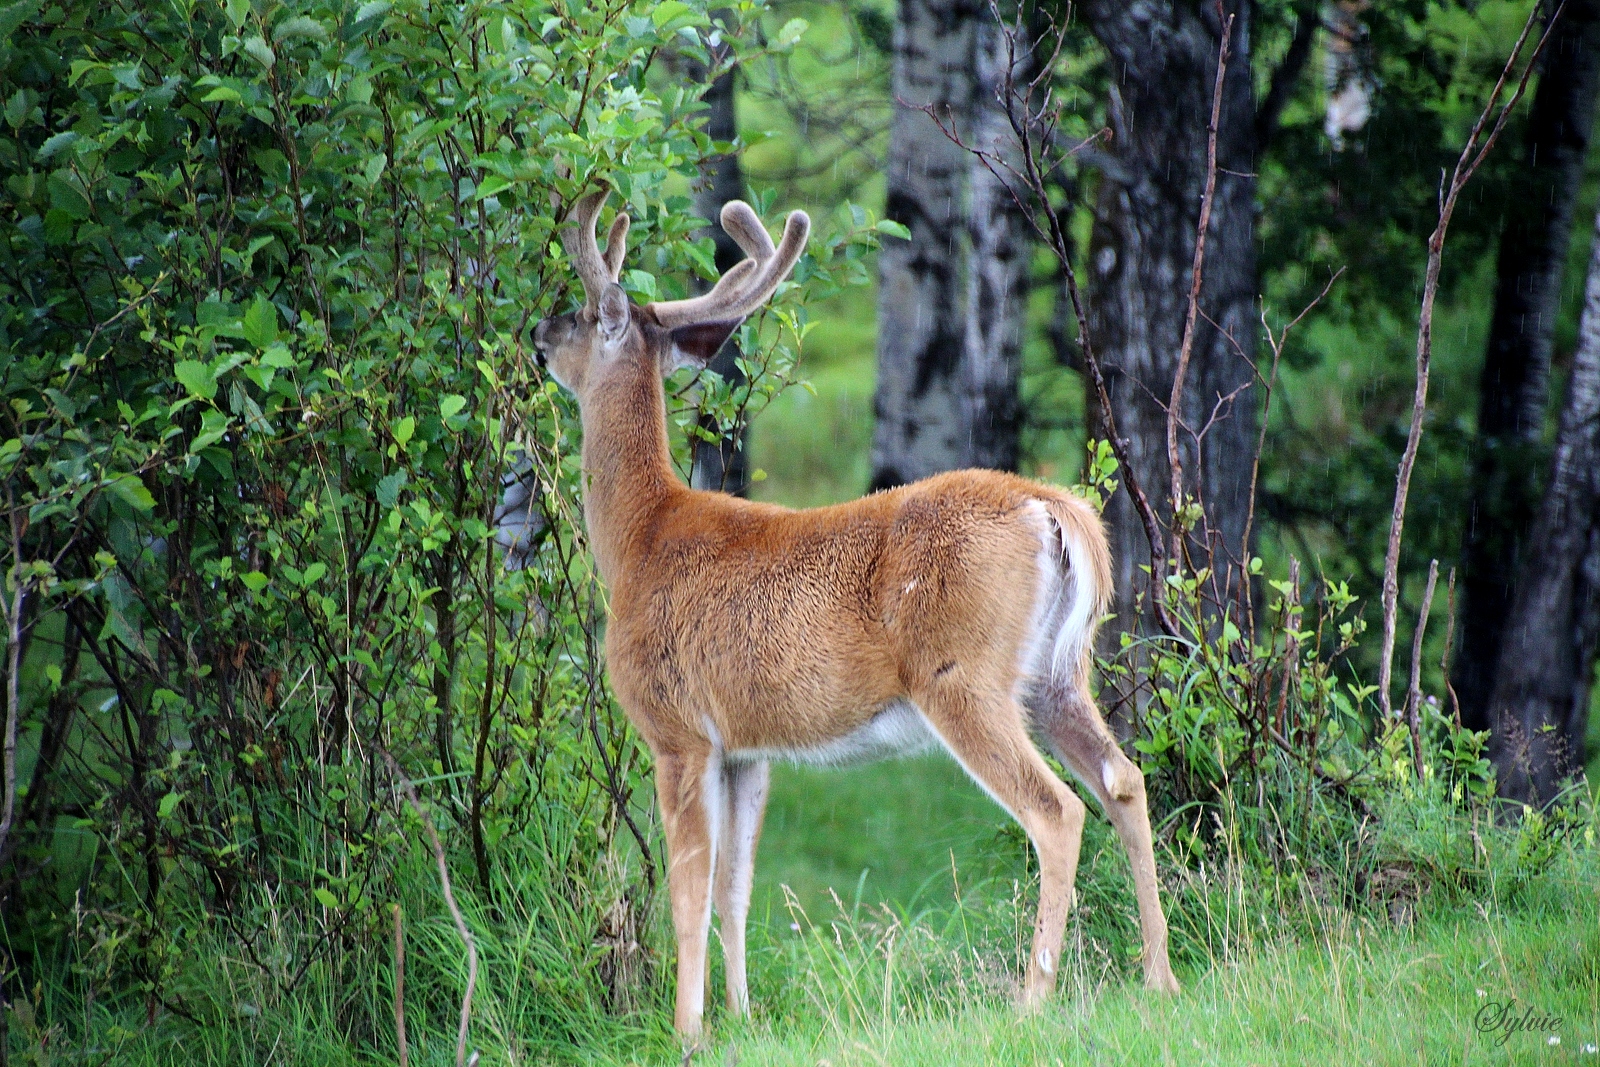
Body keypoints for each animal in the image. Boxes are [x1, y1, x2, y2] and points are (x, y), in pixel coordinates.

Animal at [534, 187, 1177, 1036]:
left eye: (579, 314)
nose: (536, 335)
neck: (639, 538)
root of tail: (1051, 507)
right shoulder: (747, 747)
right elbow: (735, 890)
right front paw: (741, 1016)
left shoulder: (677, 729)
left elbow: (687, 893)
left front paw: (687, 1030)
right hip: (1057, 676)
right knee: (1124, 779)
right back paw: (1161, 977)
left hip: (961, 676)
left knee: (1057, 810)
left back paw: (1031, 998)